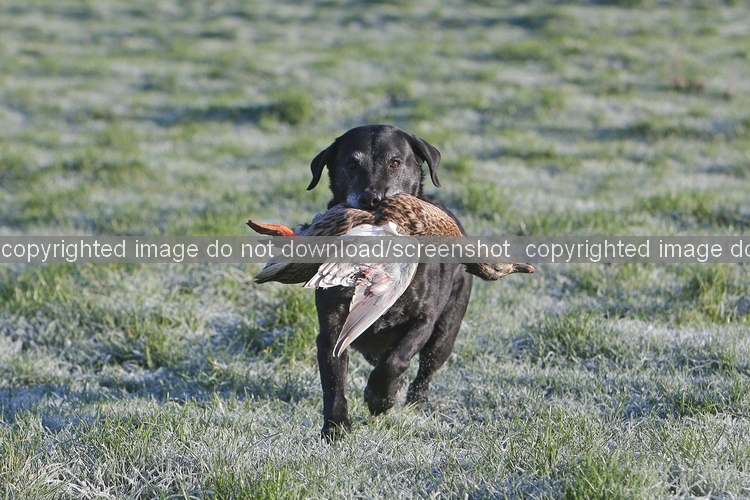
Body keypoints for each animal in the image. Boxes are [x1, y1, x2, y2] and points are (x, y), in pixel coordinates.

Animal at [306, 124, 473, 439]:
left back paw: (413, 401)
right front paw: (335, 427)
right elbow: (333, 378)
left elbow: (397, 359)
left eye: (395, 162)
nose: (371, 199)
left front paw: (379, 398)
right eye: (351, 164)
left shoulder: (422, 320)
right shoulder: (332, 327)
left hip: (446, 331)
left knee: (425, 369)